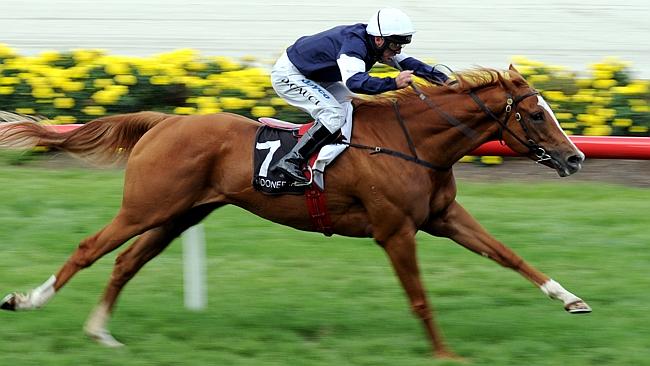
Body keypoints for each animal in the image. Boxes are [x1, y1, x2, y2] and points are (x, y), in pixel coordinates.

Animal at [0, 65, 588, 358]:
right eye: (537, 114)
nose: (576, 158)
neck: (412, 143)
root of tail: (165, 122)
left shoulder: (442, 219)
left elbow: (509, 255)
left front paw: (571, 299)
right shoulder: (395, 230)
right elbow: (420, 298)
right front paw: (446, 355)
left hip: (178, 215)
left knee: (125, 263)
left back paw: (100, 333)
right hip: (147, 206)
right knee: (90, 249)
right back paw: (25, 301)